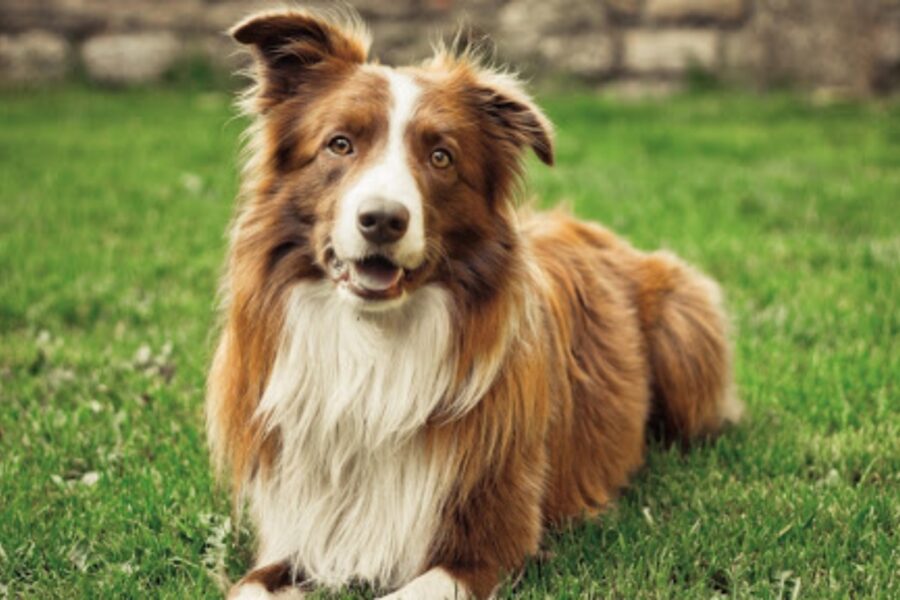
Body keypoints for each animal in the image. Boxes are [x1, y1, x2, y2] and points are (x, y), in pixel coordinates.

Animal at [206, 7, 744, 596]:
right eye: (340, 144)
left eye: (441, 157)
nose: (383, 219)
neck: (373, 348)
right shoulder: (294, 532)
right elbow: (249, 586)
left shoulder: (489, 542)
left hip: (682, 326)